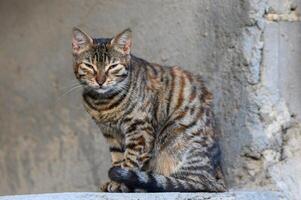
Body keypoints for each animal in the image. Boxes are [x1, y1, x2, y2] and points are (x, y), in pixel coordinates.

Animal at [71, 27, 225, 191]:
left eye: (112, 66)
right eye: (89, 66)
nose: (100, 81)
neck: (103, 102)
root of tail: (218, 177)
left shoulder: (140, 131)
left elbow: (129, 161)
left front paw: (121, 183)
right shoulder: (110, 133)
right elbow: (117, 158)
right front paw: (114, 181)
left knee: (191, 183)